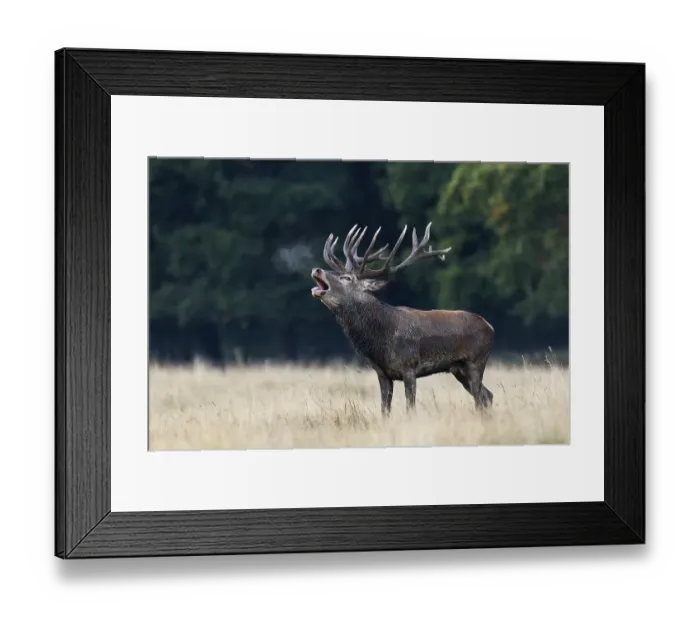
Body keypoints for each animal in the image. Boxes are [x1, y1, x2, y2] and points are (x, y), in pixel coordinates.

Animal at [310, 222, 495, 416]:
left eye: (346, 278)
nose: (317, 269)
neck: (381, 340)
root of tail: (490, 326)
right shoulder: (382, 373)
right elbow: (384, 410)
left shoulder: (409, 366)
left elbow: (410, 407)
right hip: (458, 368)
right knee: (487, 395)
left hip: (476, 361)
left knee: (480, 397)